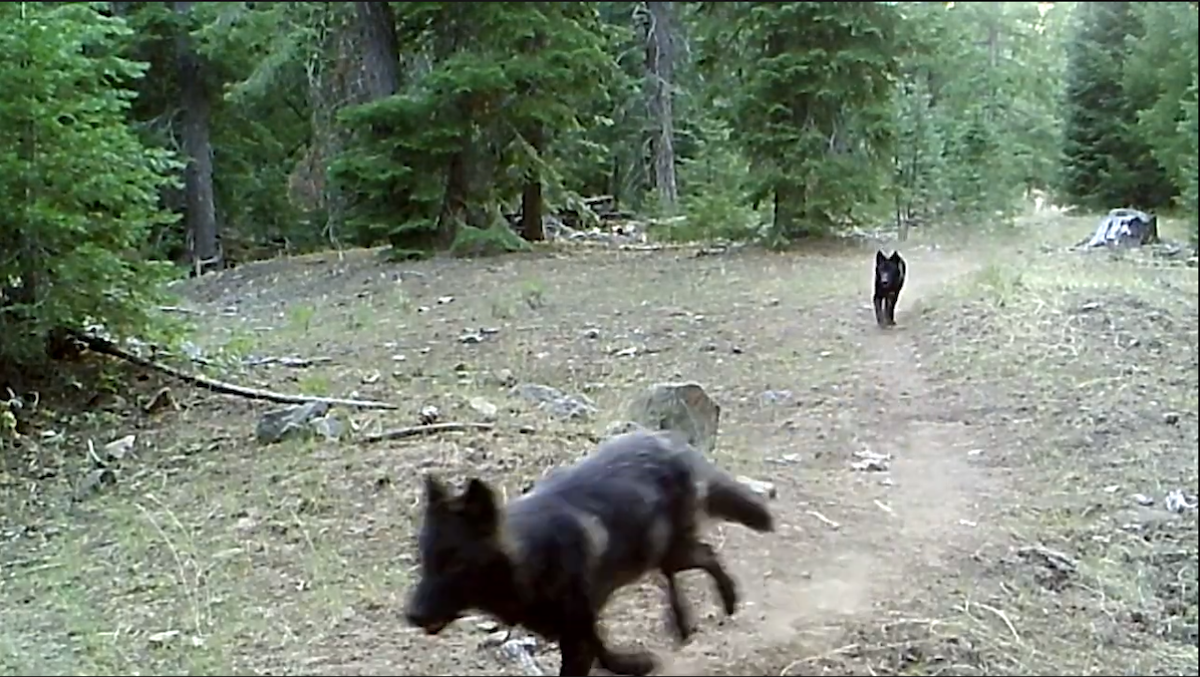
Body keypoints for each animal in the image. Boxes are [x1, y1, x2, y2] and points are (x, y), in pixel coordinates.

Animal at [403, 429, 775, 676]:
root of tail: (670, 442)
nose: (412, 615)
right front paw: (631, 665)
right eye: (426, 561)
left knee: (707, 555)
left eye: (456, 564)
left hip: (673, 551)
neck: (533, 556)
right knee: (677, 574)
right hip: (657, 554)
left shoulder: (576, 632)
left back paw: (729, 602)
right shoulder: (580, 625)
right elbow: (602, 647)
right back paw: (684, 624)